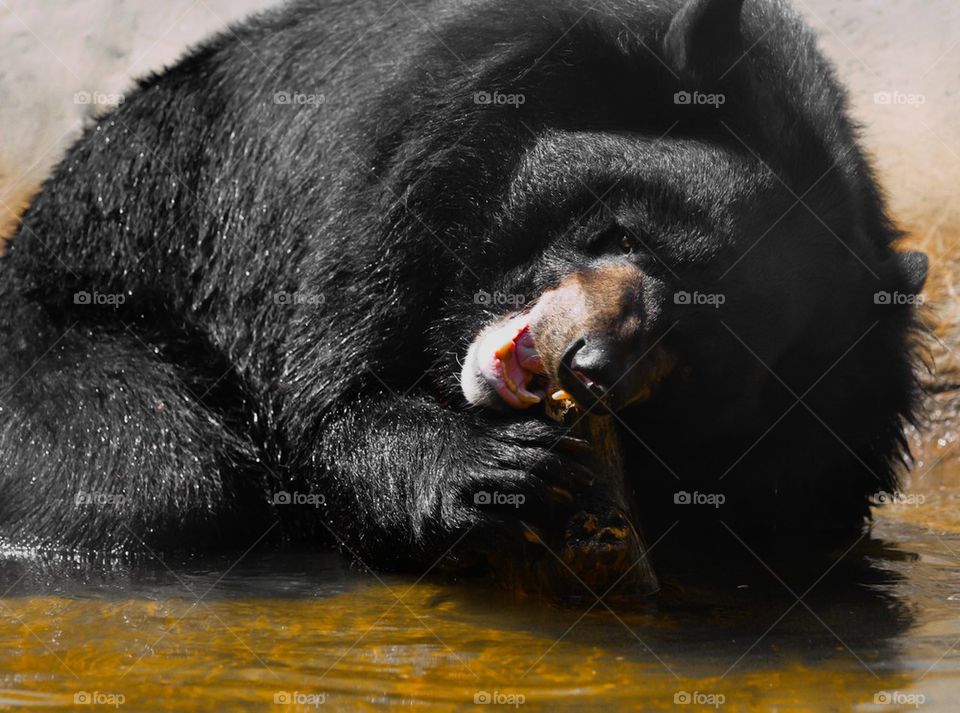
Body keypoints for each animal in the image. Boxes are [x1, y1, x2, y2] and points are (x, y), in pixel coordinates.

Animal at [0, 0, 927, 575]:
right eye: (627, 234)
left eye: (695, 355)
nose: (587, 362)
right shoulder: (384, 165)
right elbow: (333, 392)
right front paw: (502, 470)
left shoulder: (831, 444)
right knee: (147, 477)